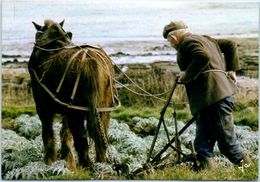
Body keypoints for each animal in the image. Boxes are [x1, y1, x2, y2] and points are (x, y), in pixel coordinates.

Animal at [28, 19, 118, 168]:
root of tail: (89, 59)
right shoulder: (67, 111)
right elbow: (65, 133)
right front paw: (68, 161)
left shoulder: (43, 108)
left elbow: (48, 134)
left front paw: (50, 161)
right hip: (103, 110)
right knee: (102, 136)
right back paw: (101, 164)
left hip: (76, 112)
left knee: (82, 140)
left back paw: (87, 166)